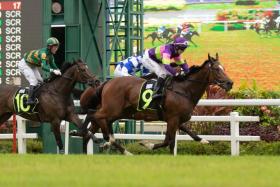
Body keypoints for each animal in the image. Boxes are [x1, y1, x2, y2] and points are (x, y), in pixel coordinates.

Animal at [77, 53, 233, 154]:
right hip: (112, 109)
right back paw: (108, 140)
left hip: (116, 112)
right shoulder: (173, 119)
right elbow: (168, 141)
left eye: (224, 68)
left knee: (92, 125)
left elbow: (185, 134)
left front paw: (204, 140)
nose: (230, 83)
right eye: (216, 69)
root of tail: (107, 83)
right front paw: (147, 144)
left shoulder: (175, 119)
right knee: (95, 116)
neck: (184, 90)